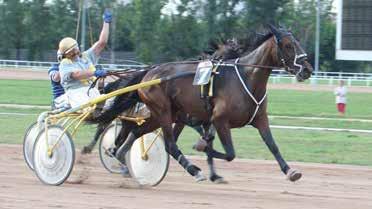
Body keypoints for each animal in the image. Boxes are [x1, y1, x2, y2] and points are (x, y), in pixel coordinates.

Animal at [115, 24, 312, 181]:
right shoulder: (219, 120)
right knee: (169, 144)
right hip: (162, 111)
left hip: (166, 114)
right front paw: (201, 147)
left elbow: (273, 146)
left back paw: (121, 156)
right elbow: (229, 153)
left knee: (138, 131)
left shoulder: (260, 119)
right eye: (288, 45)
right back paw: (193, 170)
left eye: (298, 42)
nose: (307, 69)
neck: (247, 78)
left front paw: (290, 171)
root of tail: (149, 72)